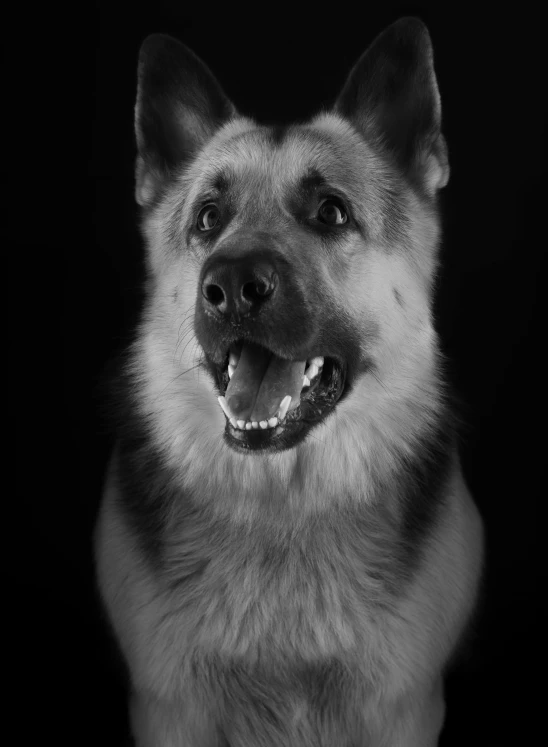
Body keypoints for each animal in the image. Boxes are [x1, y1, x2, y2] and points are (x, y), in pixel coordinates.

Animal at [94, 17, 484, 747]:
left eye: (331, 212)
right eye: (208, 217)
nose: (230, 288)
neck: (282, 512)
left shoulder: (405, 709)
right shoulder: (167, 710)